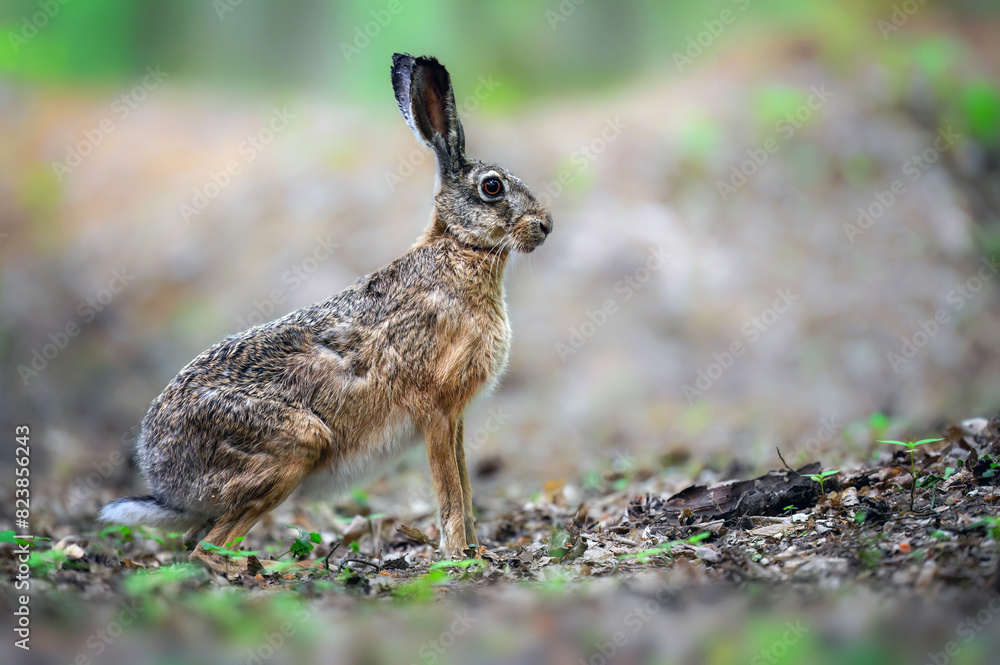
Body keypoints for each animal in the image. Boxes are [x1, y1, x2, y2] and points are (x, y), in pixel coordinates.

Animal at [98, 53, 553, 574]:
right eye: (492, 187)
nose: (546, 225)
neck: (459, 248)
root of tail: (166, 482)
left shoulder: (454, 418)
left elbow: (465, 484)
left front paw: (479, 551)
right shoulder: (437, 408)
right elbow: (450, 490)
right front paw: (458, 556)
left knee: (198, 542)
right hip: (296, 443)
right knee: (207, 549)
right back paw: (290, 568)